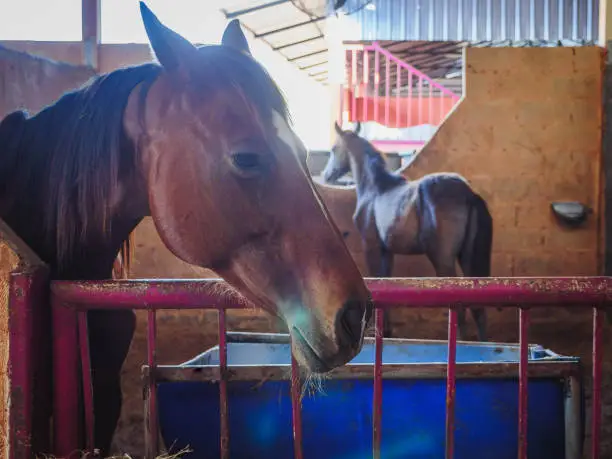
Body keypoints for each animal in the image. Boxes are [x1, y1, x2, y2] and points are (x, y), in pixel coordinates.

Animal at [322, 122, 490, 342]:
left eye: (333, 149)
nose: (326, 175)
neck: (376, 189)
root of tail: (468, 194)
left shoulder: (372, 247)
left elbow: (378, 280)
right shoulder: (387, 251)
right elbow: (387, 282)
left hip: (444, 260)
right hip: (467, 258)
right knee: (479, 307)